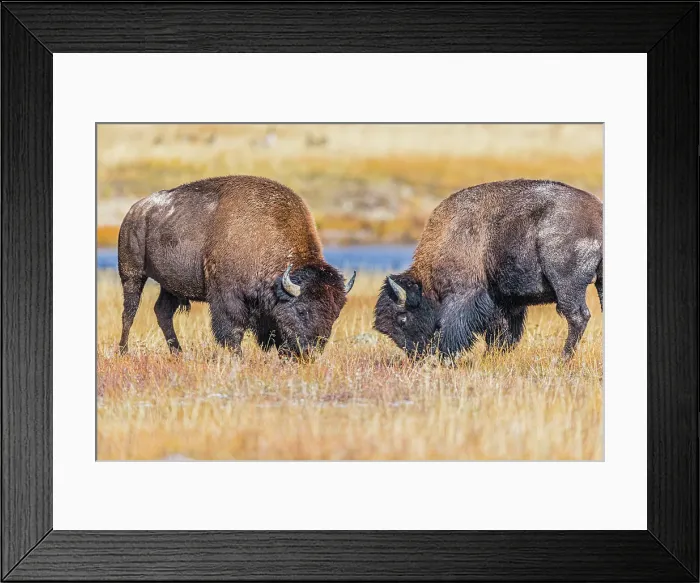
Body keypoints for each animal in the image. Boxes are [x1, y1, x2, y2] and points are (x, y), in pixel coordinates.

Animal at [118, 175, 355, 357]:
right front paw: (238, 357)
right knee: (130, 311)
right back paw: (123, 351)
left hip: (170, 286)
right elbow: (233, 330)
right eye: (302, 310)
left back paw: (178, 353)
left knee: (163, 312)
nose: (310, 352)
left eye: (335, 314)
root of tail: (135, 211)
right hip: (132, 274)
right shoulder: (227, 298)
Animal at [374, 179, 602, 360]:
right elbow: (501, 331)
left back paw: (562, 359)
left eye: (402, 318)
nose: (416, 355)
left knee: (577, 316)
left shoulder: (464, 296)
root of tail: (598, 213)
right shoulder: (504, 302)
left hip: (566, 285)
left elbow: (454, 327)